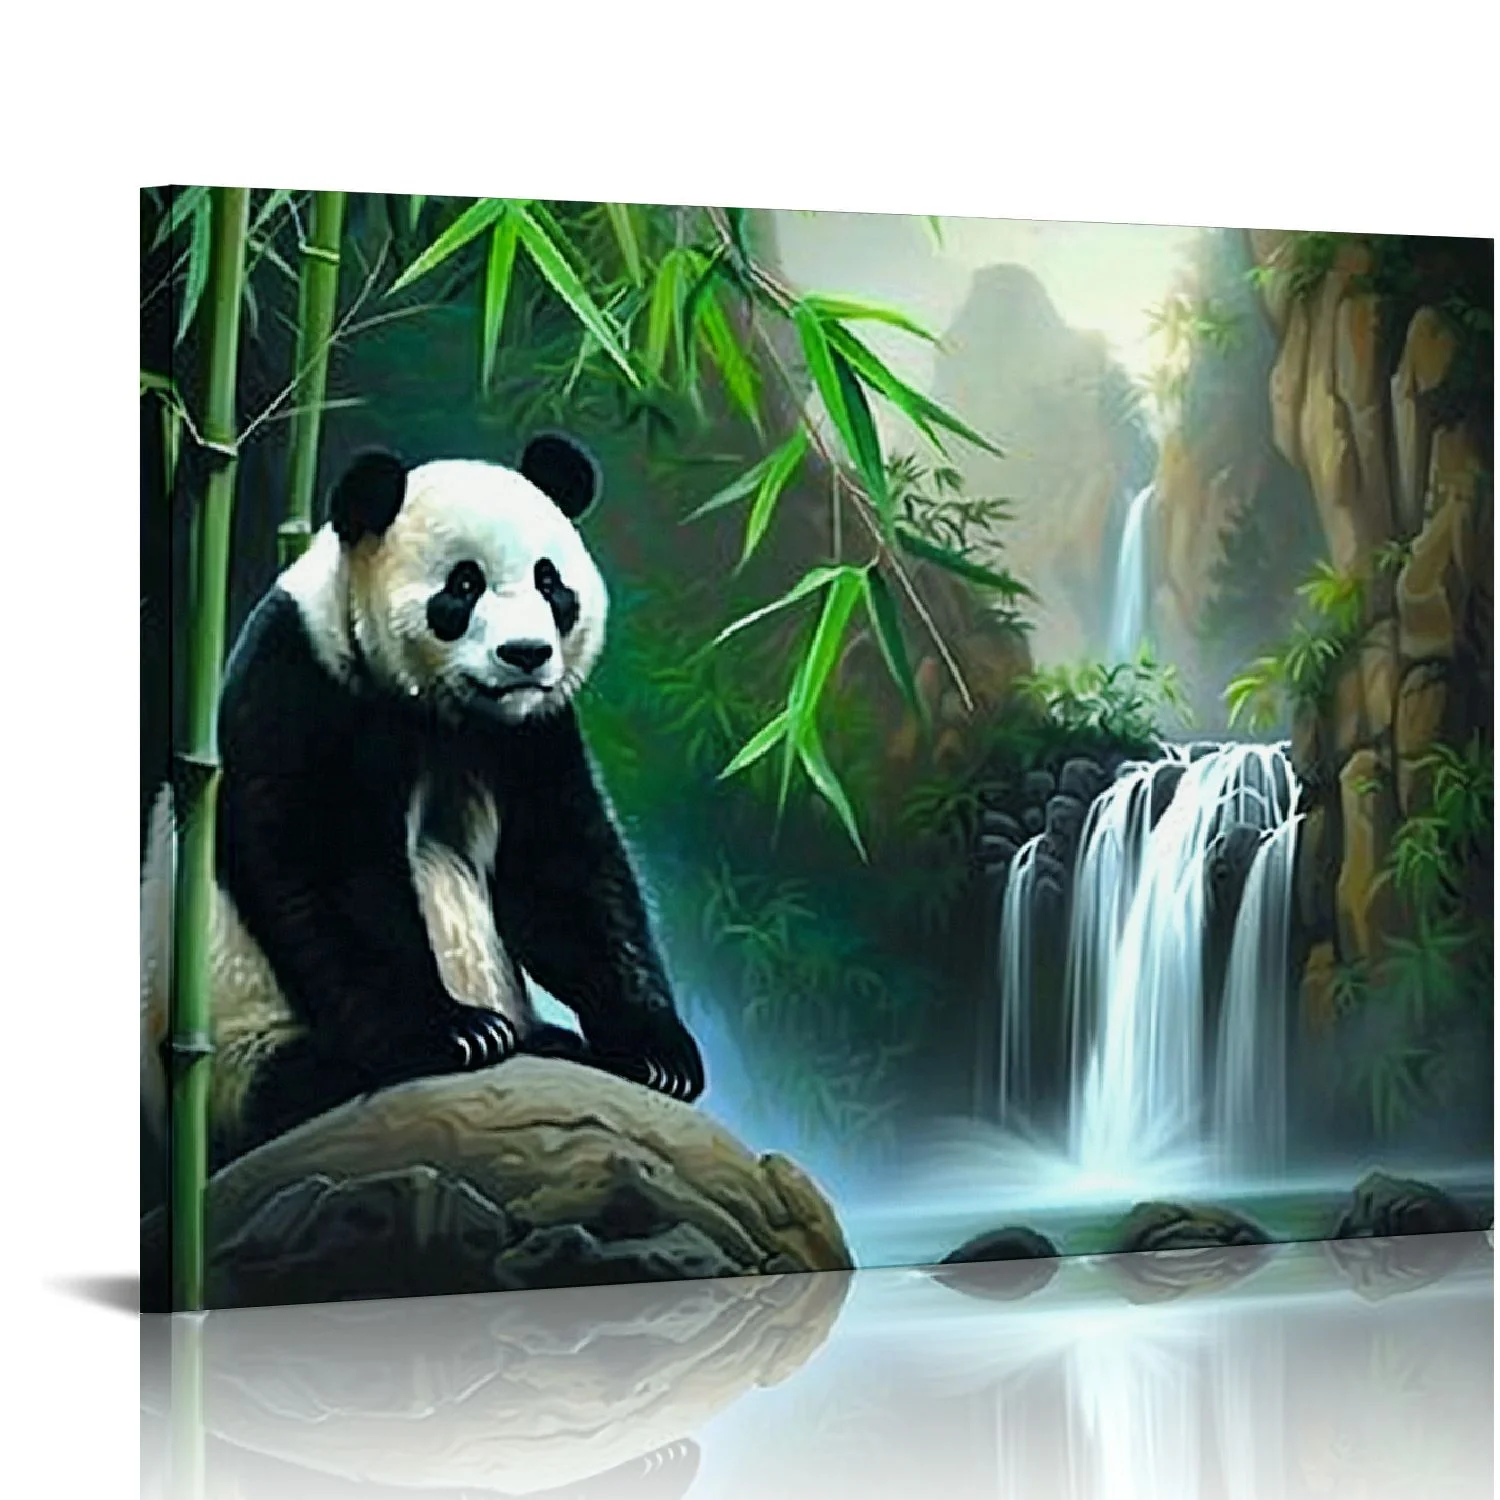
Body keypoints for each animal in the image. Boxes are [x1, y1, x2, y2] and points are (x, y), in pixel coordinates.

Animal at [141, 434, 705, 1171]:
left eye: (550, 583)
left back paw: (550, 1041)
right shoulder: (304, 685)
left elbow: (563, 871)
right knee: (279, 1081)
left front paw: (657, 1050)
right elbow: (324, 865)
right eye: (462, 586)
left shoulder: (533, 733)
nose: (526, 654)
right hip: (230, 1048)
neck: (447, 716)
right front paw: (453, 1033)